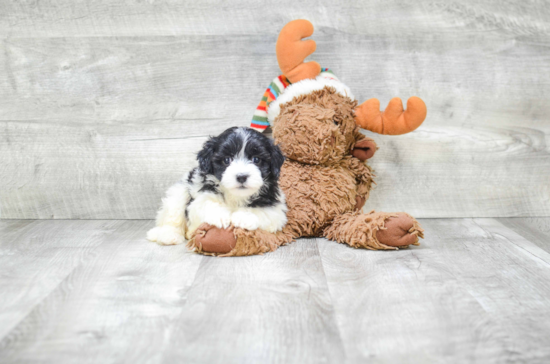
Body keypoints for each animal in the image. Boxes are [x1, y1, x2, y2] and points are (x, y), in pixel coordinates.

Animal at [147, 126, 288, 246]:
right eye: (227, 160)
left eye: (256, 159)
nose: (241, 176)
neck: (236, 196)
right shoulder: (200, 197)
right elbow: (206, 204)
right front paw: (219, 216)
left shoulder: (276, 209)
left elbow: (266, 212)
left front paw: (244, 217)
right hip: (179, 192)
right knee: (173, 215)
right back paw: (168, 235)